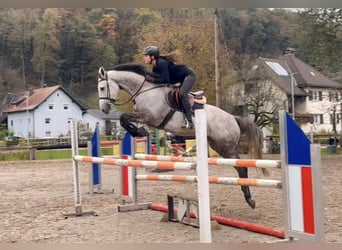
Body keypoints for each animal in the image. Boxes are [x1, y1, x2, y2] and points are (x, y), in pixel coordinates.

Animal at [97, 63, 268, 209]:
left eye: (102, 87)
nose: (104, 109)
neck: (145, 90)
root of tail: (233, 118)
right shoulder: (146, 118)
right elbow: (124, 119)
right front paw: (138, 131)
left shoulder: (150, 117)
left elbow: (124, 117)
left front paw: (139, 131)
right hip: (218, 145)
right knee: (239, 168)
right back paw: (247, 196)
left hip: (227, 146)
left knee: (242, 167)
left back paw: (249, 199)